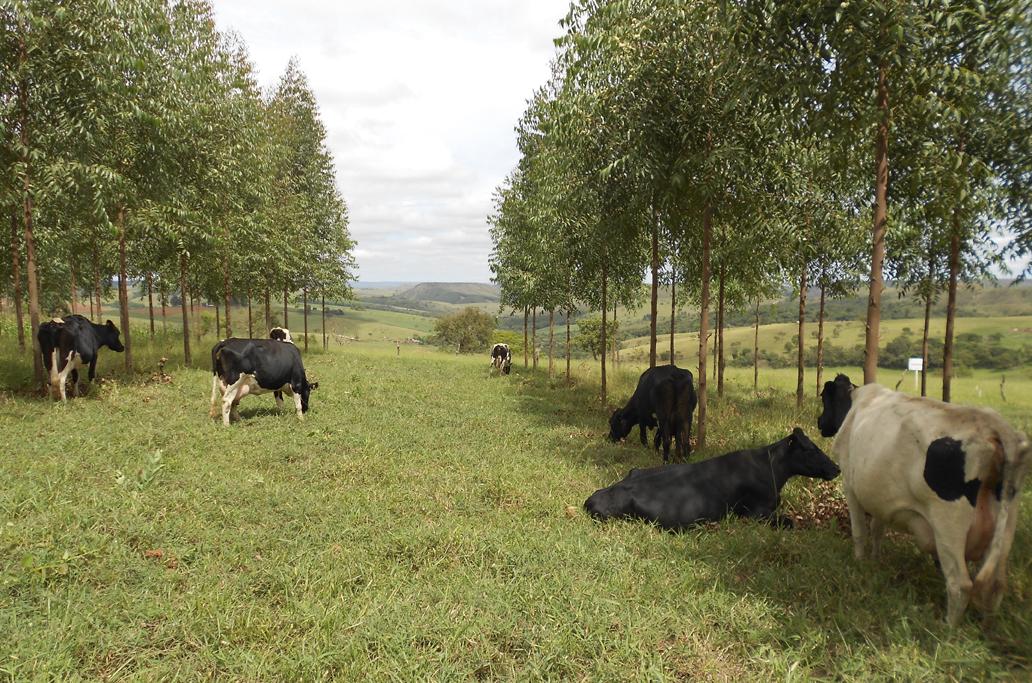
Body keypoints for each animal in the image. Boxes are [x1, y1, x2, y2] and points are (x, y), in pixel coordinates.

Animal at [817, 375, 1027, 627]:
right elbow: (877, 529)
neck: (856, 405)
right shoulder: (880, 498)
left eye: (823, 397)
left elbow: (859, 532)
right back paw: (987, 627)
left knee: (960, 584)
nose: (819, 422)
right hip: (1006, 526)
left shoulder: (851, 487)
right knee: (995, 585)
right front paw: (875, 561)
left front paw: (859, 562)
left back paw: (948, 627)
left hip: (948, 526)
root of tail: (990, 423)